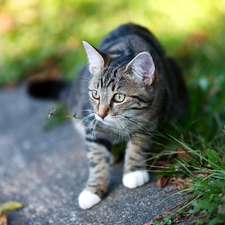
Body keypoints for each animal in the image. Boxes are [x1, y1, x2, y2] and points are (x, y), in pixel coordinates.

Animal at [29, 22, 189, 209]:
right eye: (95, 94)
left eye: (119, 97)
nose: (101, 114)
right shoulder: (92, 124)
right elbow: (96, 157)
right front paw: (93, 189)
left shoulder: (151, 118)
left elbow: (139, 144)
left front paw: (134, 171)